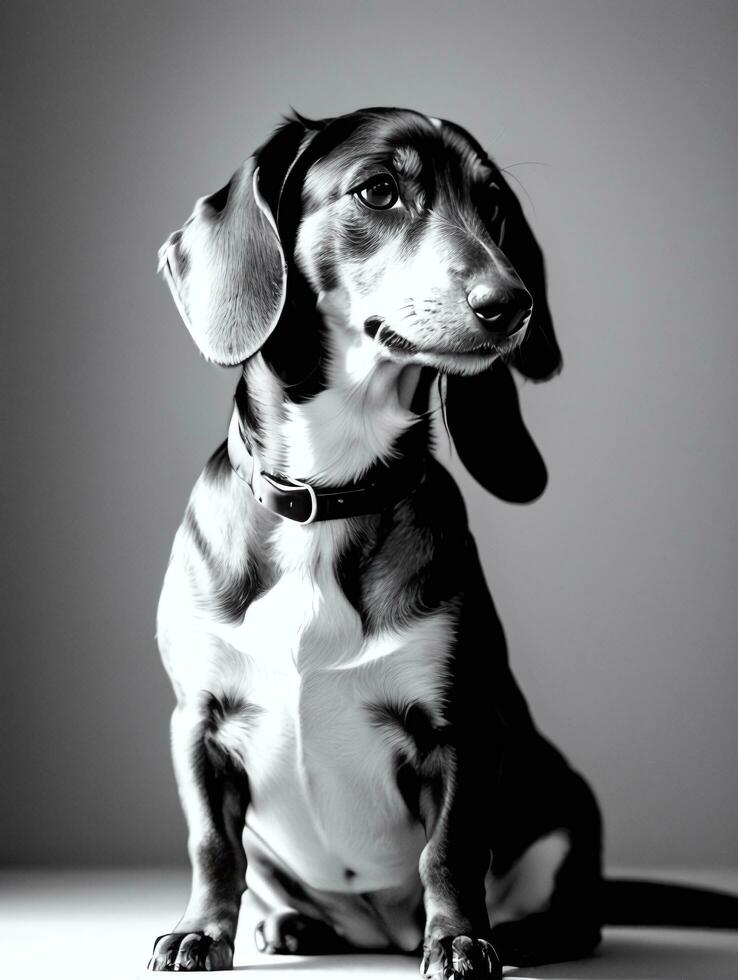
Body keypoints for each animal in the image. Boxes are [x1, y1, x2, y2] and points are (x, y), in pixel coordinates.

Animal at [150, 109, 604, 972]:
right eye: (379, 190)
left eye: (494, 207)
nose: (511, 303)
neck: (327, 496)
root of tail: (382, 931)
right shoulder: (198, 722)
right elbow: (210, 846)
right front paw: (202, 930)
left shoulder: (462, 729)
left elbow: (450, 851)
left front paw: (459, 941)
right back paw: (294, 924)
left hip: (569, 801)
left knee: (579, 916)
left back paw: (524, 933)